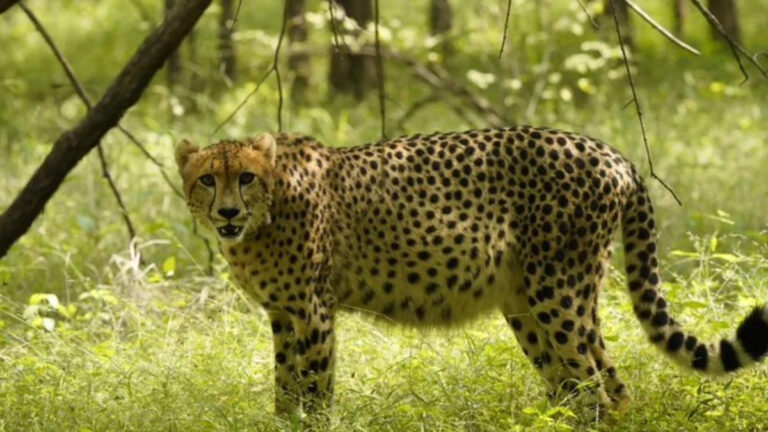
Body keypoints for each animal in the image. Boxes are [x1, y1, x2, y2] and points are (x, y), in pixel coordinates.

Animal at [175, 126, 768, 418]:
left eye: (246, 178)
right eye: (208, 179)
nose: (227, 213)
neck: (266, 216)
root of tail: (611, 151)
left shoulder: (314, 313)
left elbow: (315, 392)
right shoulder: (282, 314)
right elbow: (284, 389)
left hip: (557, 294)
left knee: (593, 391)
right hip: (533, 303)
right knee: (603, 388)